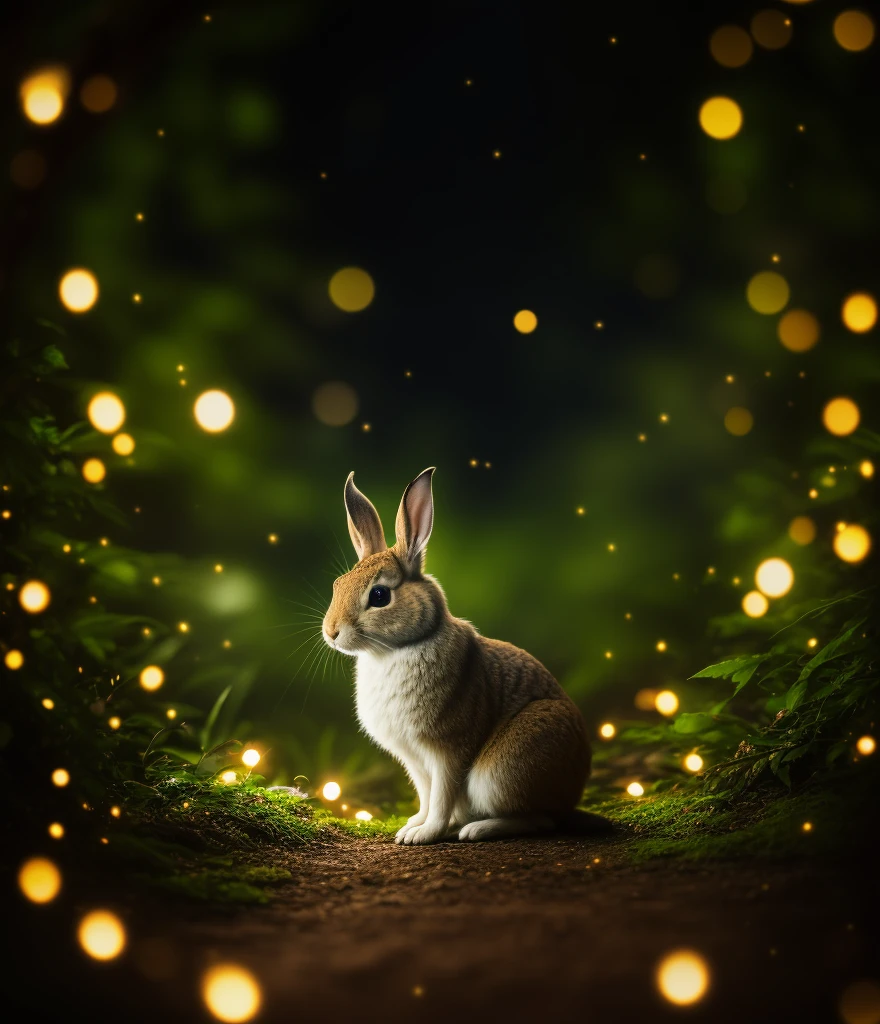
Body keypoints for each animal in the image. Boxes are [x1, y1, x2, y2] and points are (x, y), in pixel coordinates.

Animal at [323, 468, 590, 843]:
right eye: (337, 584)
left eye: (379, 596)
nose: (331, 632)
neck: (399, 649)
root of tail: (575, 787)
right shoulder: (414, 759)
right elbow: (425, 795)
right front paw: (412, 825)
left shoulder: (448, 750)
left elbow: (441, 796)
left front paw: (423, 835)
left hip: (499, 773)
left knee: (539, 820)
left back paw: (476, 829)